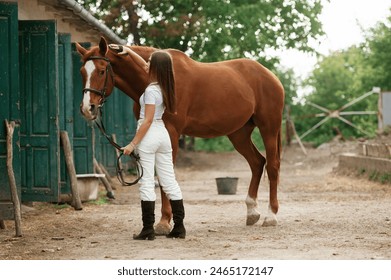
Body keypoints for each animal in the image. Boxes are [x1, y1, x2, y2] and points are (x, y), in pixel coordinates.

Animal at [76, 36, 284, 234]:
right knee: (257, 163)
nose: (87, 108)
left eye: (102, 70)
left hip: (268, 128)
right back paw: (252, 212)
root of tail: (271, 76)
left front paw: (164, 222)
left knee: (272, 166)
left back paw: (271, 216)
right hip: (239, 134)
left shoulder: (171, 133)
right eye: (82, 72)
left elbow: (165, 175)